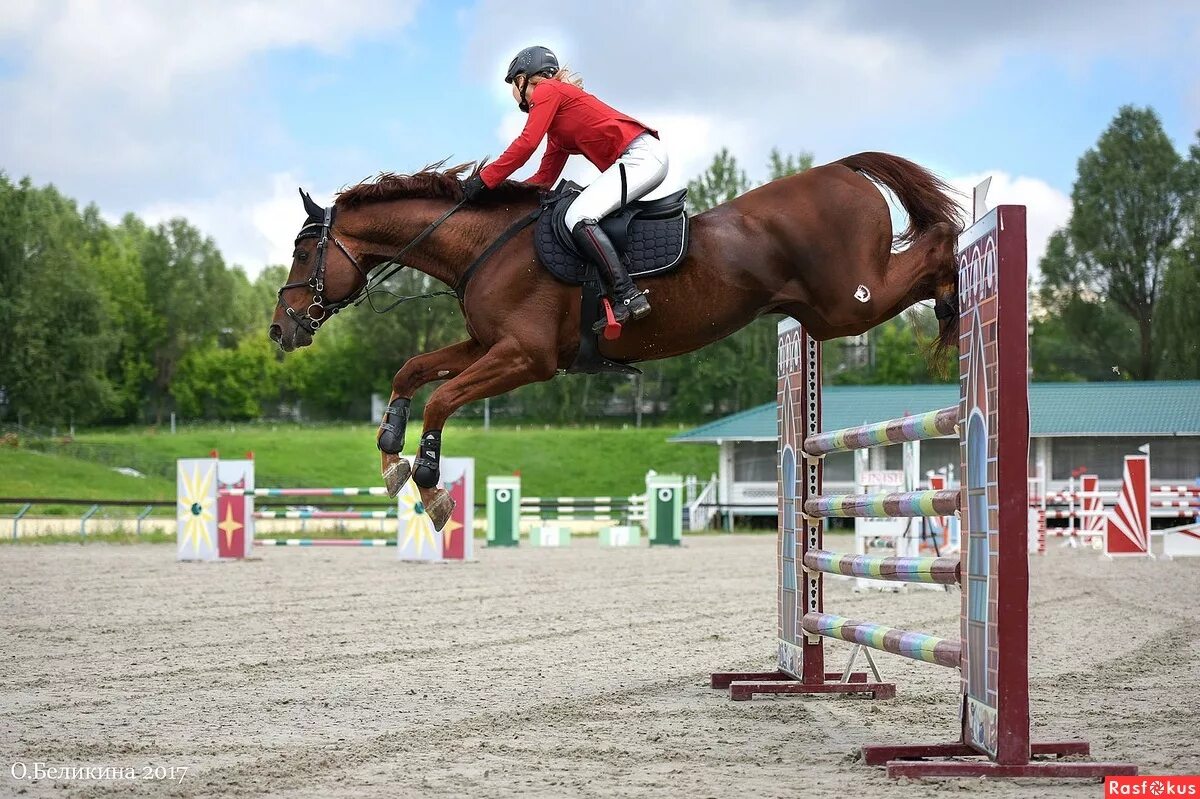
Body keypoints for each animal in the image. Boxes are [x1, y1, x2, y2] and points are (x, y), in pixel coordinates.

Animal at [272, 152, 964, 527]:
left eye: (305, 252)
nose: (282, 329)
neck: (485, 245)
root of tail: (844, 173)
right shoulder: (489, 347)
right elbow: (412, 371)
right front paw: (391, 454)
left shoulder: (525, 358)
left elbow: (441, 398)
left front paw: (432, 484)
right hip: (826, 315)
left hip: (851, 301)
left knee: (934, 248)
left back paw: (956, 303)